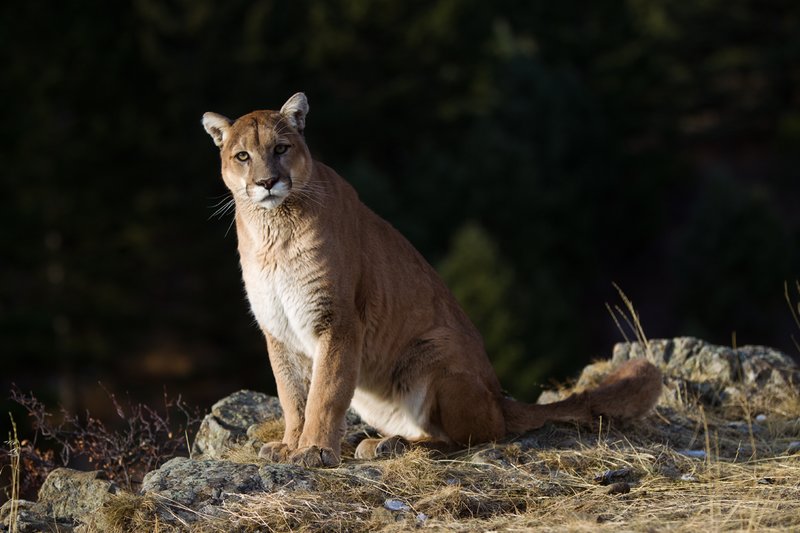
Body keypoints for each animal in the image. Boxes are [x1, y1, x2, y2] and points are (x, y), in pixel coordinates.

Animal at [201, 93, 662, 467]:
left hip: (434, 358)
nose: (267, 182)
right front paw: (290, 445)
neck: (272, 231)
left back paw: (393, 446)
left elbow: (324, 394)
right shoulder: (278, 329)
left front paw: (314, 450)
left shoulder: (337, 321)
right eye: (242, 156)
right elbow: (293, 396)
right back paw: (382, 440)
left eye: (281, 148)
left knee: (473, 438)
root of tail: (501, 398)